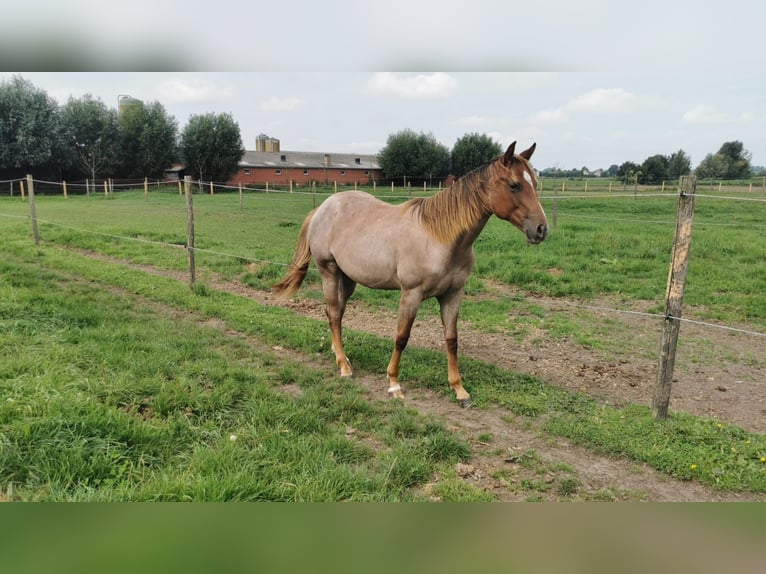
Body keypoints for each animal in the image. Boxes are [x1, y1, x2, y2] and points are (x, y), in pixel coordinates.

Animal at [272, 141, 548, 408]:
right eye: (514, 185)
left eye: (535, 183)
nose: (541, 229)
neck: (439, 238)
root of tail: (323, 209)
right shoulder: (411, 295)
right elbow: (402, 337)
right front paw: (394, 384)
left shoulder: (453, 295)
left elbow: (452, 339)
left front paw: (459, 390)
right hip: (328, 271)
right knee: (334, 314)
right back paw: (344, 367)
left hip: (348, 278)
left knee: (335, 313)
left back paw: (341, 355)